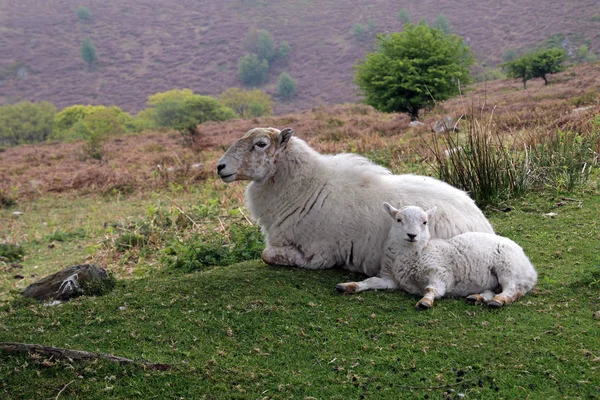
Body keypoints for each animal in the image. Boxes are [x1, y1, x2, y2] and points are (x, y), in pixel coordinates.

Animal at [218, 128, 494, 278]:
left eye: (260, 144)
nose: (220, 167)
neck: (306, 188)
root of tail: (484, 224)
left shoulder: (319, 255)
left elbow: (267, 255)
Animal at [336, 205, 536, 308]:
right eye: (399, 220)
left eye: (425, 222)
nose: (412, 235)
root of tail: (530, 269)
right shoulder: (391, 280)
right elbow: (371, 281)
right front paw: (349, 286)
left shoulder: (439, 273)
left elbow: (432, 289)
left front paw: (425, 301)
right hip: (495, 278)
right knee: (495, 290)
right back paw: (478, 297)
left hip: (507, 267)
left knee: (511, 290)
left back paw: (498, 301)